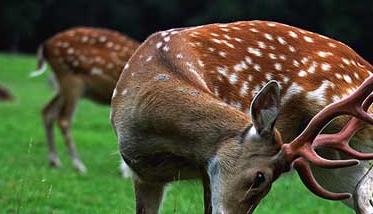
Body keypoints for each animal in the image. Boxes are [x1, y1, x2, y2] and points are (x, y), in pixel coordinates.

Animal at [31, 27, 140, 174]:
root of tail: (46, 46)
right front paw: (126, 171)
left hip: (65, 86)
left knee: (47, 111)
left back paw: (54, 161)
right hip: (71, 79)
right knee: (63, 119)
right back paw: (78, 165)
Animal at [110, 20, 372, 214]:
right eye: (260, 178)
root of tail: (365, 65)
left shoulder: (207, 170)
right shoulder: (144, 177)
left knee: (363, 195)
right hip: (330, 166)